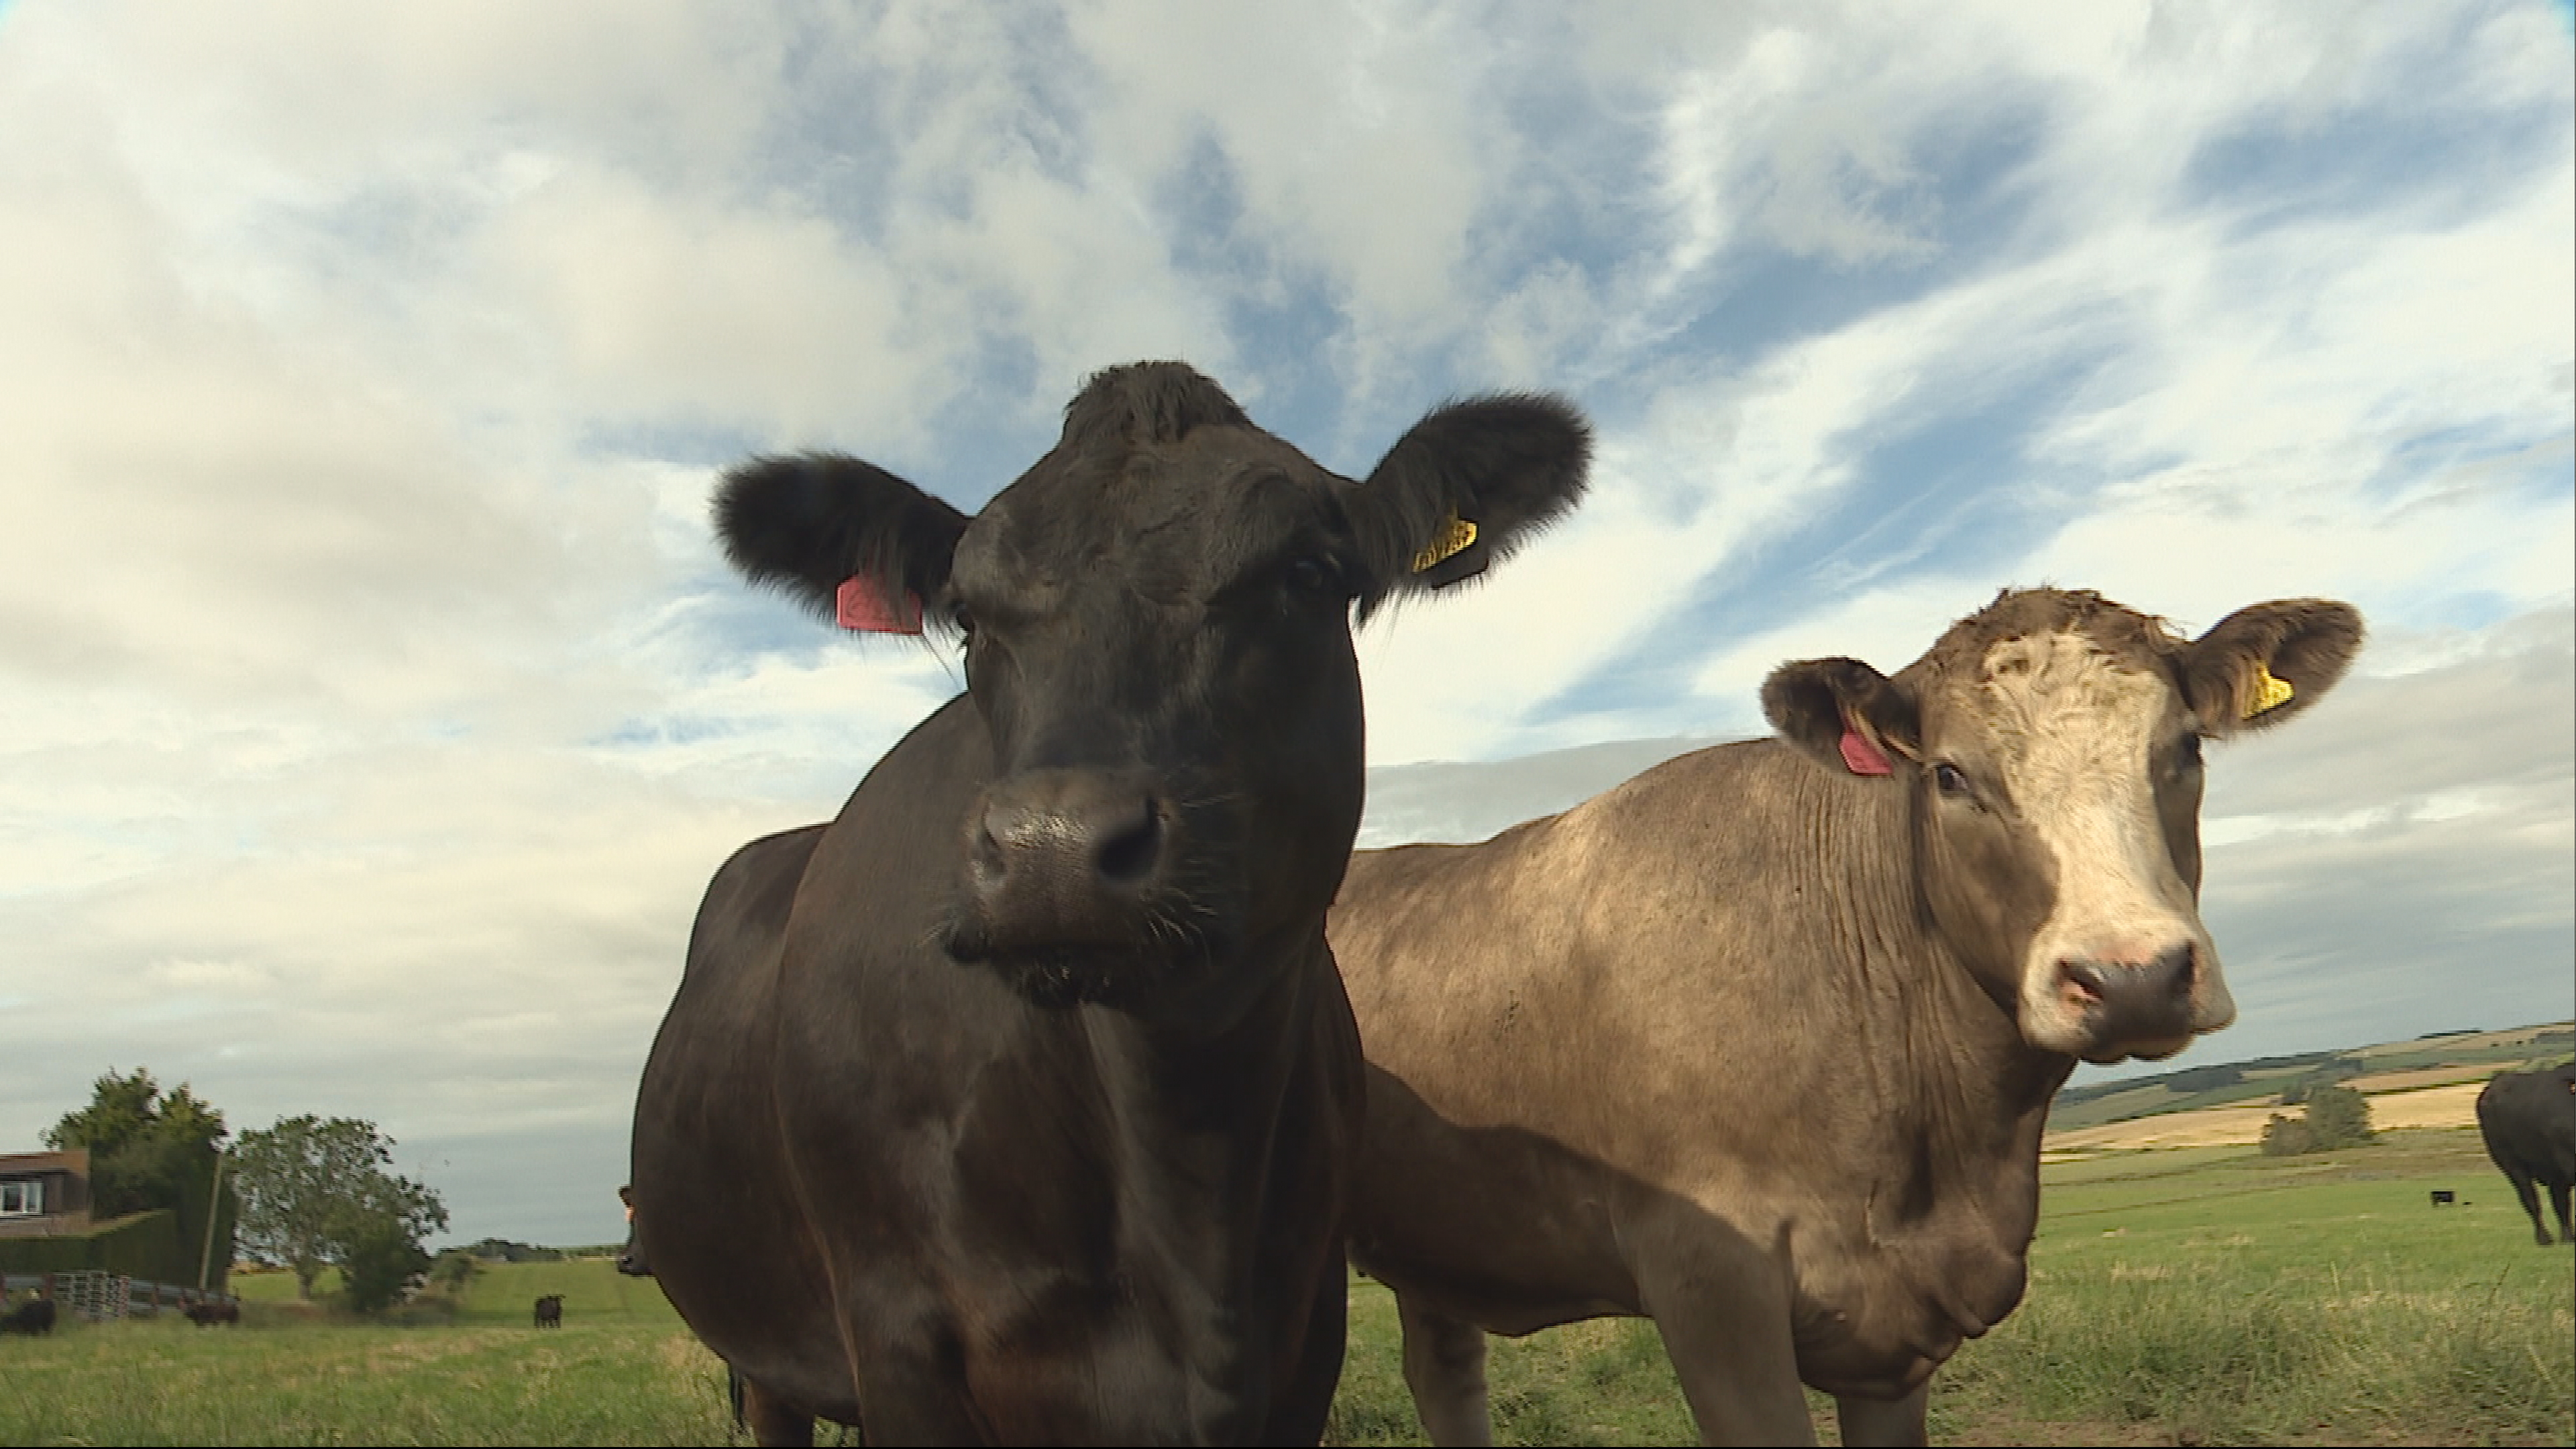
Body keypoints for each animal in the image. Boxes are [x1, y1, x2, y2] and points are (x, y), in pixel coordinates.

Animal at [1332, 586, 2363, 1447]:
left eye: (2185, 748)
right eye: (1948, 775)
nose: (2134, 976)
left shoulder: (1899, 1330)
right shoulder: (1708, 1282)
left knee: (1444, 1372)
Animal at [2474, 1062, 2576, 1246]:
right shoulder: (2568, 1162)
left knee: (2559, 1200)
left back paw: (2567, 1238)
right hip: (2511, 1163)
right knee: (2531, 1198)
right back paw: (2544, 1238)